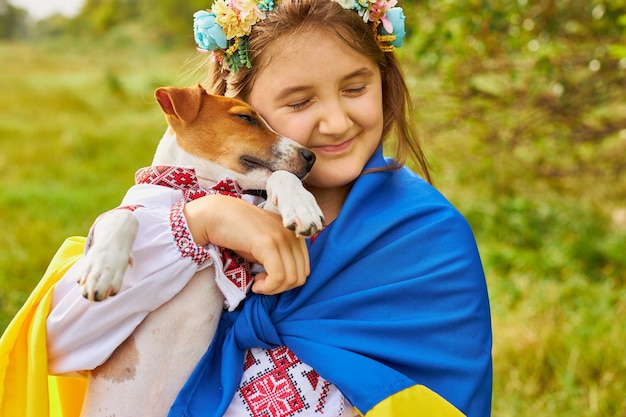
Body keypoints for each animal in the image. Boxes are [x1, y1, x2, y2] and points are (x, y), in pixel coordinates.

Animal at [75, 84, 324, 416]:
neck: (200, 190)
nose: (311, 156)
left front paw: (302, 206)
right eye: (245, 117)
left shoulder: (255, 265)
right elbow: (124, 216)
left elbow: (278, 177)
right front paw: (102, 270)